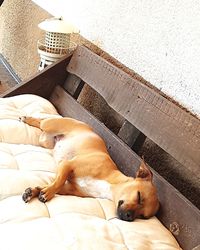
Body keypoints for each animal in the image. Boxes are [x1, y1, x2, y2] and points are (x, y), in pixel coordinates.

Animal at [21, 116, 159, 222]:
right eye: (139, 196)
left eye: (142, 216)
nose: (129, 217)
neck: (109, 185)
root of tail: (86, 125)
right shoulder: (68, 165)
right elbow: (58, 181)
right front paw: (48, 192)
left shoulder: (69, 188)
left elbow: (50, 184)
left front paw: (35, 191)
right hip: (49, 125)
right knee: (42, 120)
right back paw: (28, 119)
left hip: (45, 141)